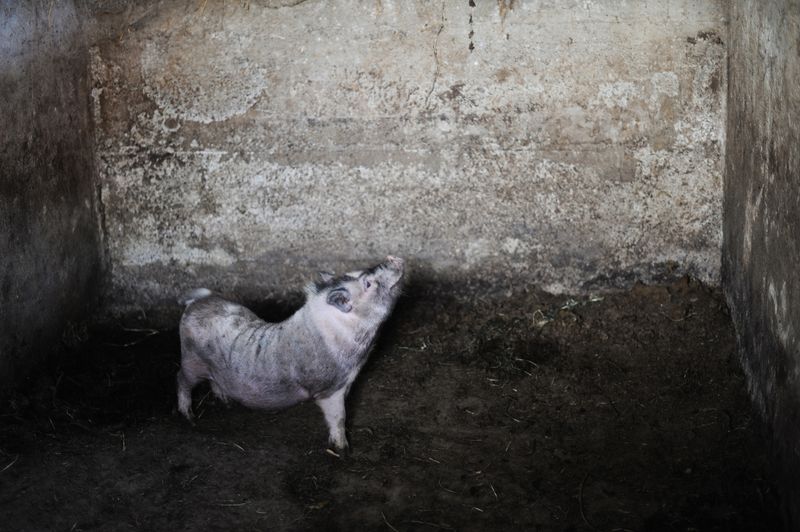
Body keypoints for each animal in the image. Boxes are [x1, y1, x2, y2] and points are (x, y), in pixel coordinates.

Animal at [176, 256, 404, 452]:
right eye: (368, 284)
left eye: (357, 272)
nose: (392, 258)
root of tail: (198, 301)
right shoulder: (329, 390)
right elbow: (338, 417)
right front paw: (343, 449)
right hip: (191, 360)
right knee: (181, 379)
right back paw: (189, 417)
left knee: (213, 381)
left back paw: (226, 402)